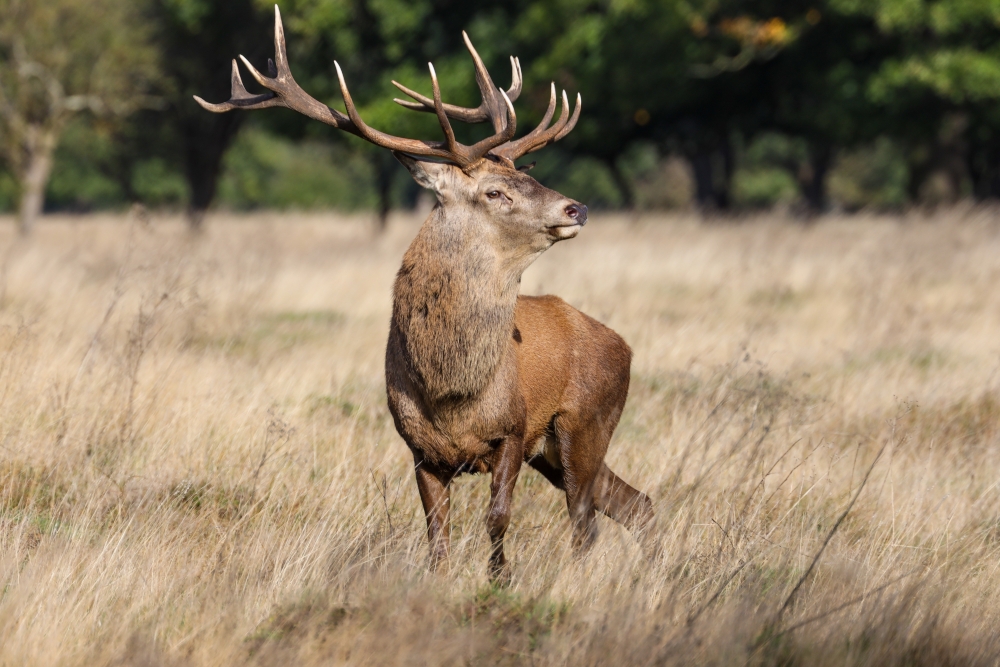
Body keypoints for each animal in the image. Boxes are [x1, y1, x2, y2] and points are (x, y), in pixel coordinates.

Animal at [197, 6, 654, 583]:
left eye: (525, 177)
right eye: (495, 191)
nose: (578, 207)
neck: (450, 392)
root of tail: (623, 345)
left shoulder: (514, 429)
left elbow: (497, 518)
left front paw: (500, 582)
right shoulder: (418, 450)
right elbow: (437, 539)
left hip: (584, 422)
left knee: (587, 521)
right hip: (558, 447)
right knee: (634, 505)